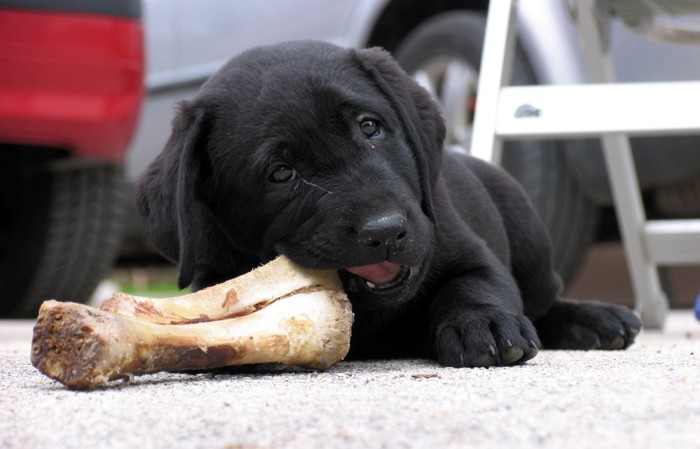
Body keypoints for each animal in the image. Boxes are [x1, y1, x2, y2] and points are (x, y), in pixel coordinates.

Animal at [137, 40, 640, 366]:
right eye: (281, 173)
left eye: (369, 126)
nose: (384, 232)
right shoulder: (212, 276)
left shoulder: (468, 249)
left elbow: (475, 285)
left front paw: (485, 324)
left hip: (526, 226)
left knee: (543, 299)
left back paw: (597, 319)